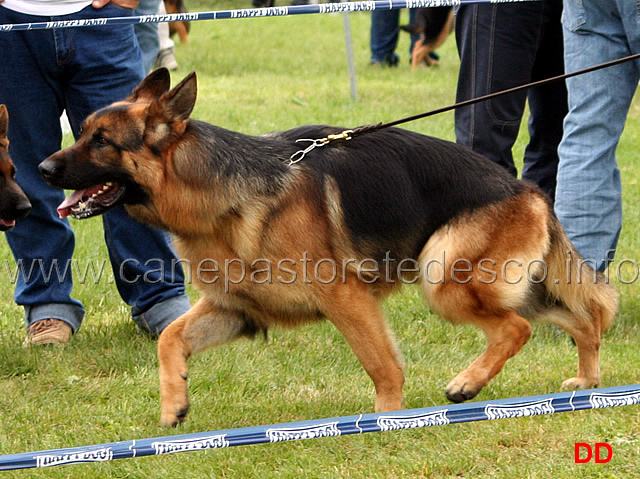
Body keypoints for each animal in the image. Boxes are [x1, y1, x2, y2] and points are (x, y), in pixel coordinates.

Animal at [38, 68, 616, 428]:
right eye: (81, 131)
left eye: (102, 142)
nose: (41, 169)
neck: (220, 195)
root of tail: (528, 190)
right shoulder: (236, 308)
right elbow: (169, 339)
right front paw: (174, 402)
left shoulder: (346, 299)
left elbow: (382, 365)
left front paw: (387, 421)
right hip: (510, 285)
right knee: (581, 320)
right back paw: (588, 382)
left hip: (443, 277)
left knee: (517, 327)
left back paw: (466, 385)